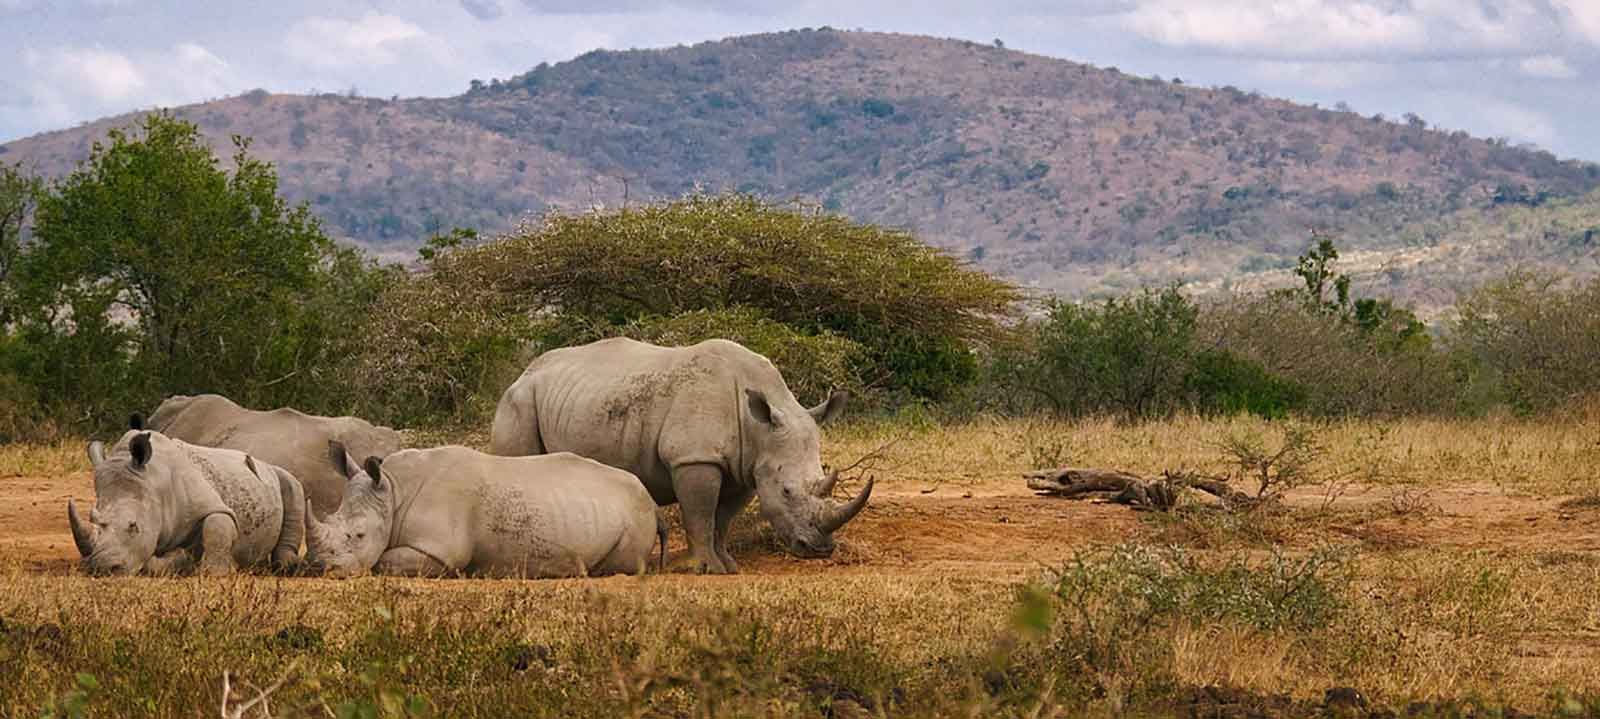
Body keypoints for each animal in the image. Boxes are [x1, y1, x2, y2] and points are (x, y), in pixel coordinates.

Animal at [69, 429, 305, 573]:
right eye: (93, 519)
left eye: (133, 526)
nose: (103, 567)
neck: (154, 483)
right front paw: (180, 559)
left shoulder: (212, 505)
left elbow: (216, 526)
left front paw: (215, 572)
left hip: (278, 473)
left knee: (292, 484)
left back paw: (285, 565)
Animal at [305, 441, 662, 576]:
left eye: (358, 535)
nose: (320, 567)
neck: (393, 491)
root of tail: (650, 498)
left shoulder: (440, 550)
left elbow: (385, 562)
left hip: (637, 510)